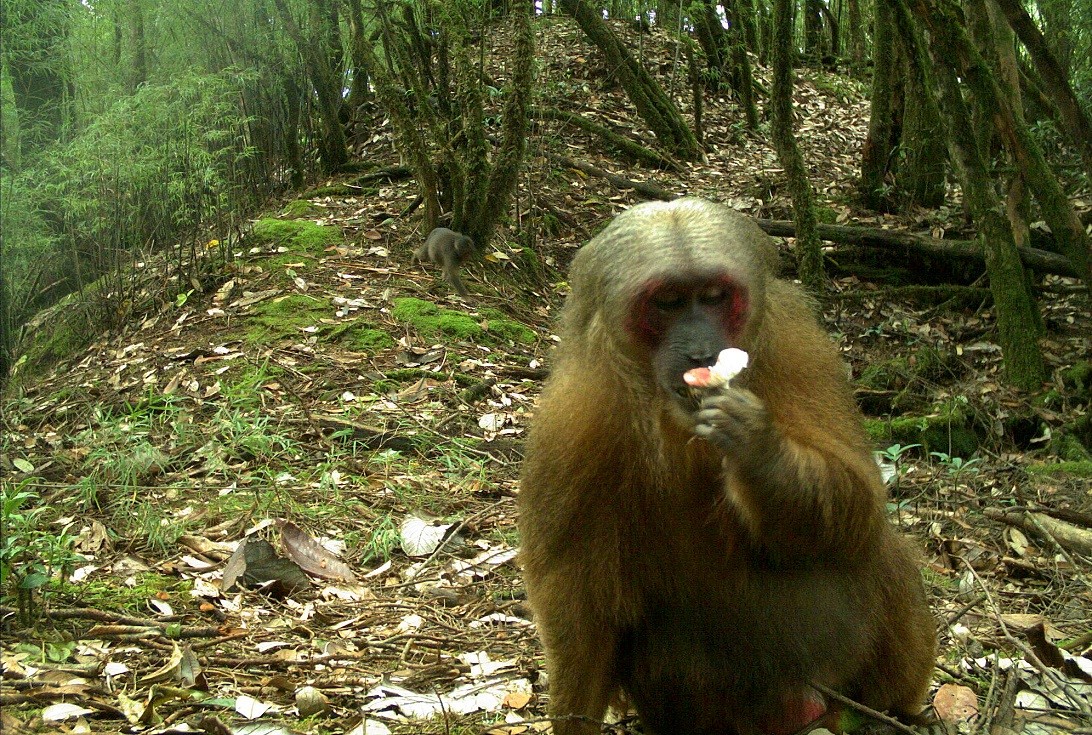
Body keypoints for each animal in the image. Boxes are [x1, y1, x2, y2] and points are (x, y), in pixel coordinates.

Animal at [515, 197, 934, 733]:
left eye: (714, 297)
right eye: (669, 302)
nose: (700, 350)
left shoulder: (800, 349)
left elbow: (858, 504)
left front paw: (758, 452)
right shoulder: (573, 419)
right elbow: (580, 603)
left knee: (878, 551)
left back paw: (893, 711)